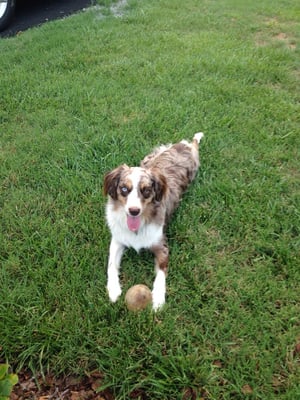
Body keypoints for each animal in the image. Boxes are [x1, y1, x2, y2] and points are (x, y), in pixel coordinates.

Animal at [103, 133, 204, 310]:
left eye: (146, 190)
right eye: (124, 189)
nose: (134, 211)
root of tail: (185, 146)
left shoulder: (161, 245)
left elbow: (161, 275)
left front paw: (157, 299)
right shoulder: (117, 240)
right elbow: (111, 265)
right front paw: (113, 290)